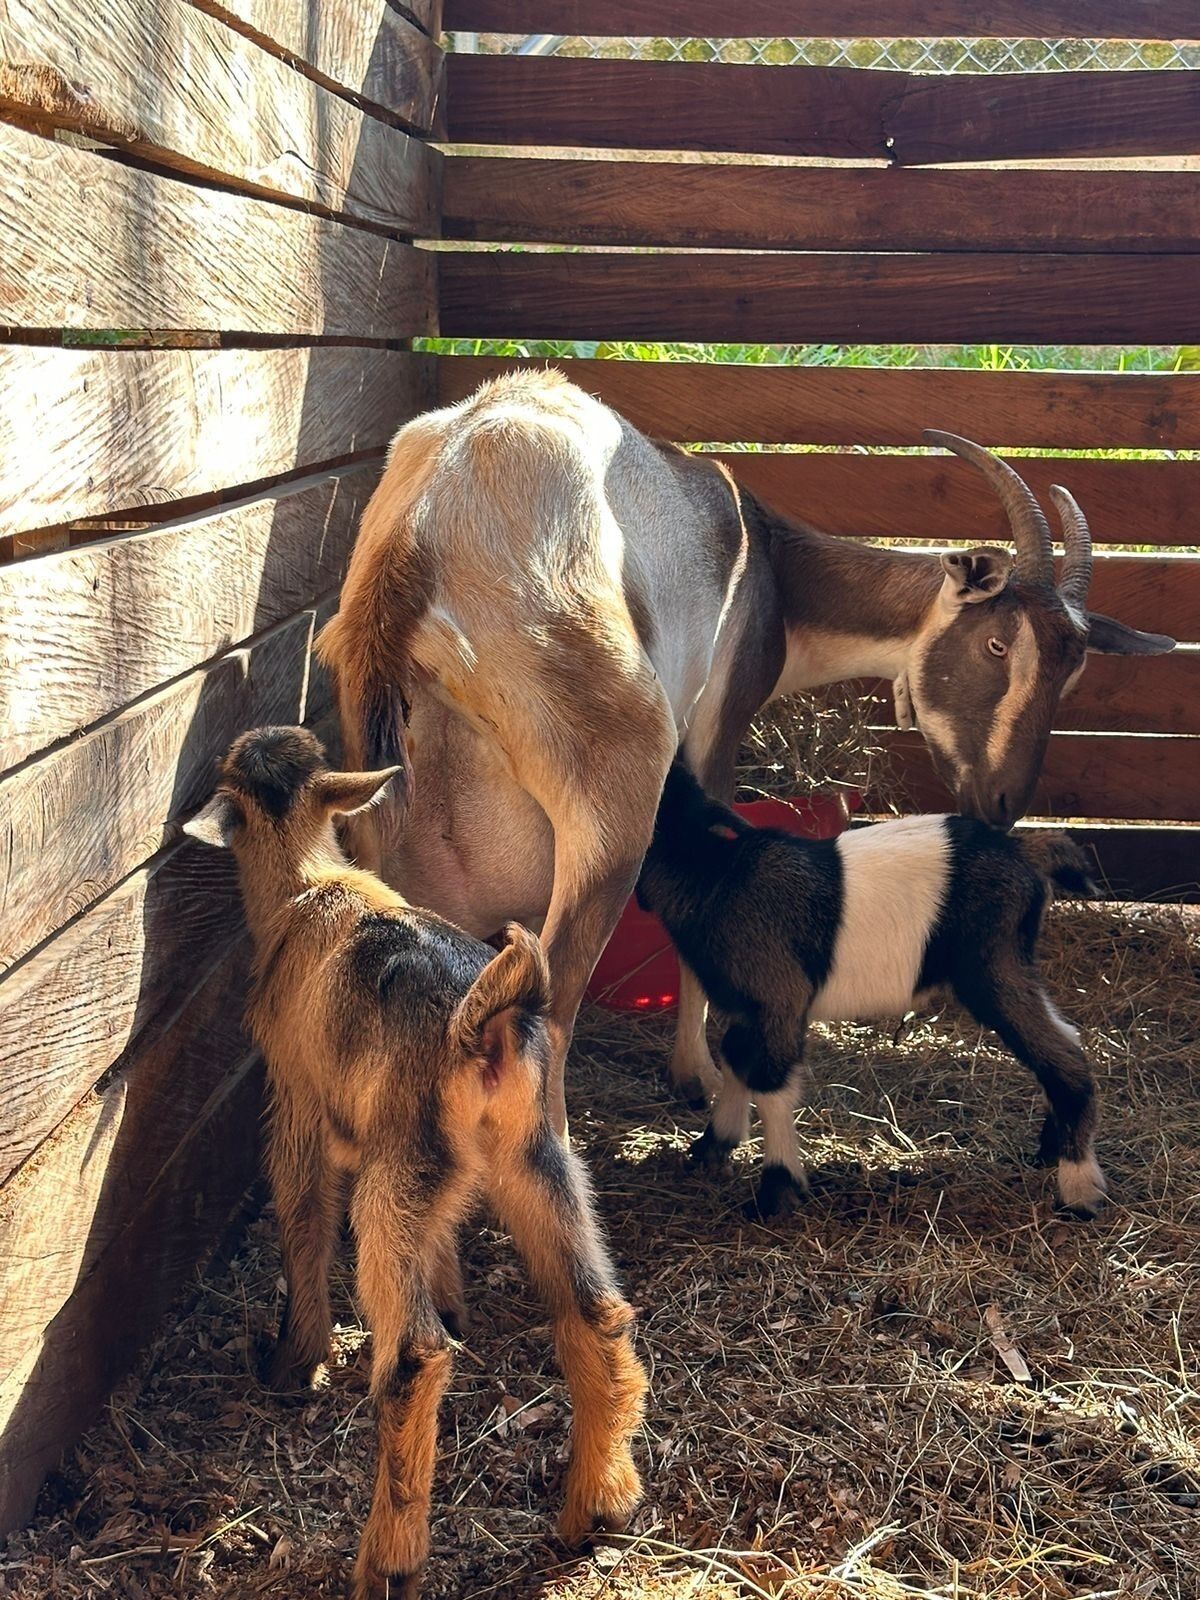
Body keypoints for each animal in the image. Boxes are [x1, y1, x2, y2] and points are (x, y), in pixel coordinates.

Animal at [184, 727, 646, 1600]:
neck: (309, 883)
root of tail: (482, 1024)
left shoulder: (296, 1096)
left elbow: (300, 1215)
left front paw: (295, 1360)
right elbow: (444, 1246)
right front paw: (457, 1299)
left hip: (396, 1174)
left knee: (414, 1358)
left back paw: (387, 1559)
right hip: (536, 1159)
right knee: (594, 1309)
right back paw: (597, 1506)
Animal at [316, 370, 1173, 1127]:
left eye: (1073, 671)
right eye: (998, 645)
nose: (1001, 802)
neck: (765, 562)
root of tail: (423, 532)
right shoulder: (715, 735)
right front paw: (695, 1074)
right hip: (616, 794)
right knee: (548, 1012)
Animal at [636, 761, 1107, 1222]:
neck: (715, 875)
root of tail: (1024, 852)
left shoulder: (778, 998)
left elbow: (770, 1083)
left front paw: (777, 1189)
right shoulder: (746, 1010)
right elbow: (736, 1058)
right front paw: (714, 1145)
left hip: (992, 966)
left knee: (1063, 1055)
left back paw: (1079, 1188)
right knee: (1065, 1036)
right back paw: (1050, 1149)